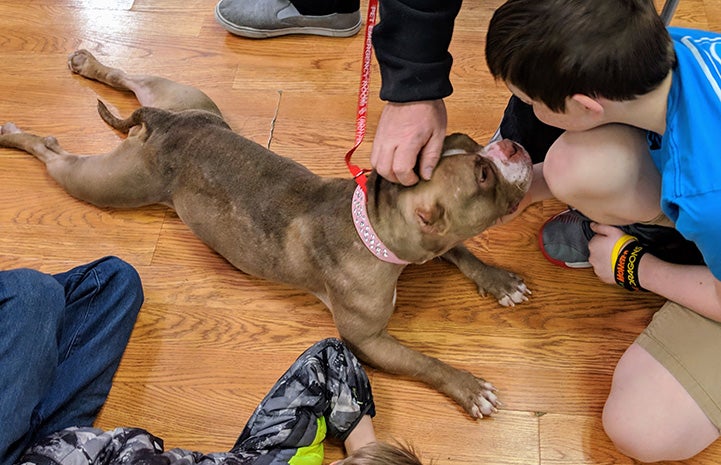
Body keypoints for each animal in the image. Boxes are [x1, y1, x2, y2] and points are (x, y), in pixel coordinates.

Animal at [0, 49, 532, 418]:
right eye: (483, 174)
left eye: (468, 143)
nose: (512, 144)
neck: (375, 220)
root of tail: (162, 123)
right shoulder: (370, 340)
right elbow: (424, 361)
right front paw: (468, 387)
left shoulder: (429, 243)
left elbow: (461, 251)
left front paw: (499, 280)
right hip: (109, 183)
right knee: (52, 152)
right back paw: (13, 135)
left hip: (182, 97)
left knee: (129, 78)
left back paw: (87, 62)